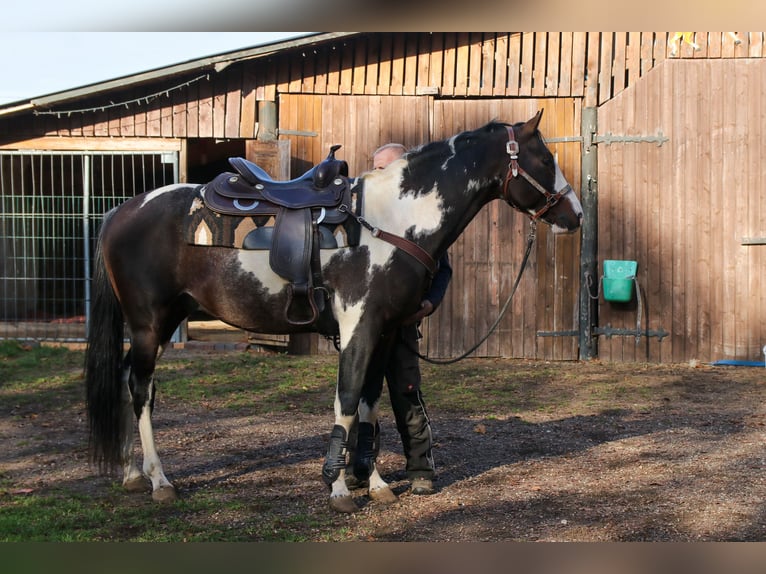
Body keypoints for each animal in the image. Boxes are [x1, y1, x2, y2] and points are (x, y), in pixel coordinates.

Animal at [84, 110, 583, 514]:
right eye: (544, 160)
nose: (575, 215)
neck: (390, 222)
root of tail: (121, 212)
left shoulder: (384, 332)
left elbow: (368, 405)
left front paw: (375, 484)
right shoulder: (359, 326)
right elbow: (346, 401)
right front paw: (339, 488)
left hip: (158, 324)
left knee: (129, 382)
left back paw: (132, 474)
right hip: (150, 324)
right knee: (141, 389)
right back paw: (159, 480)